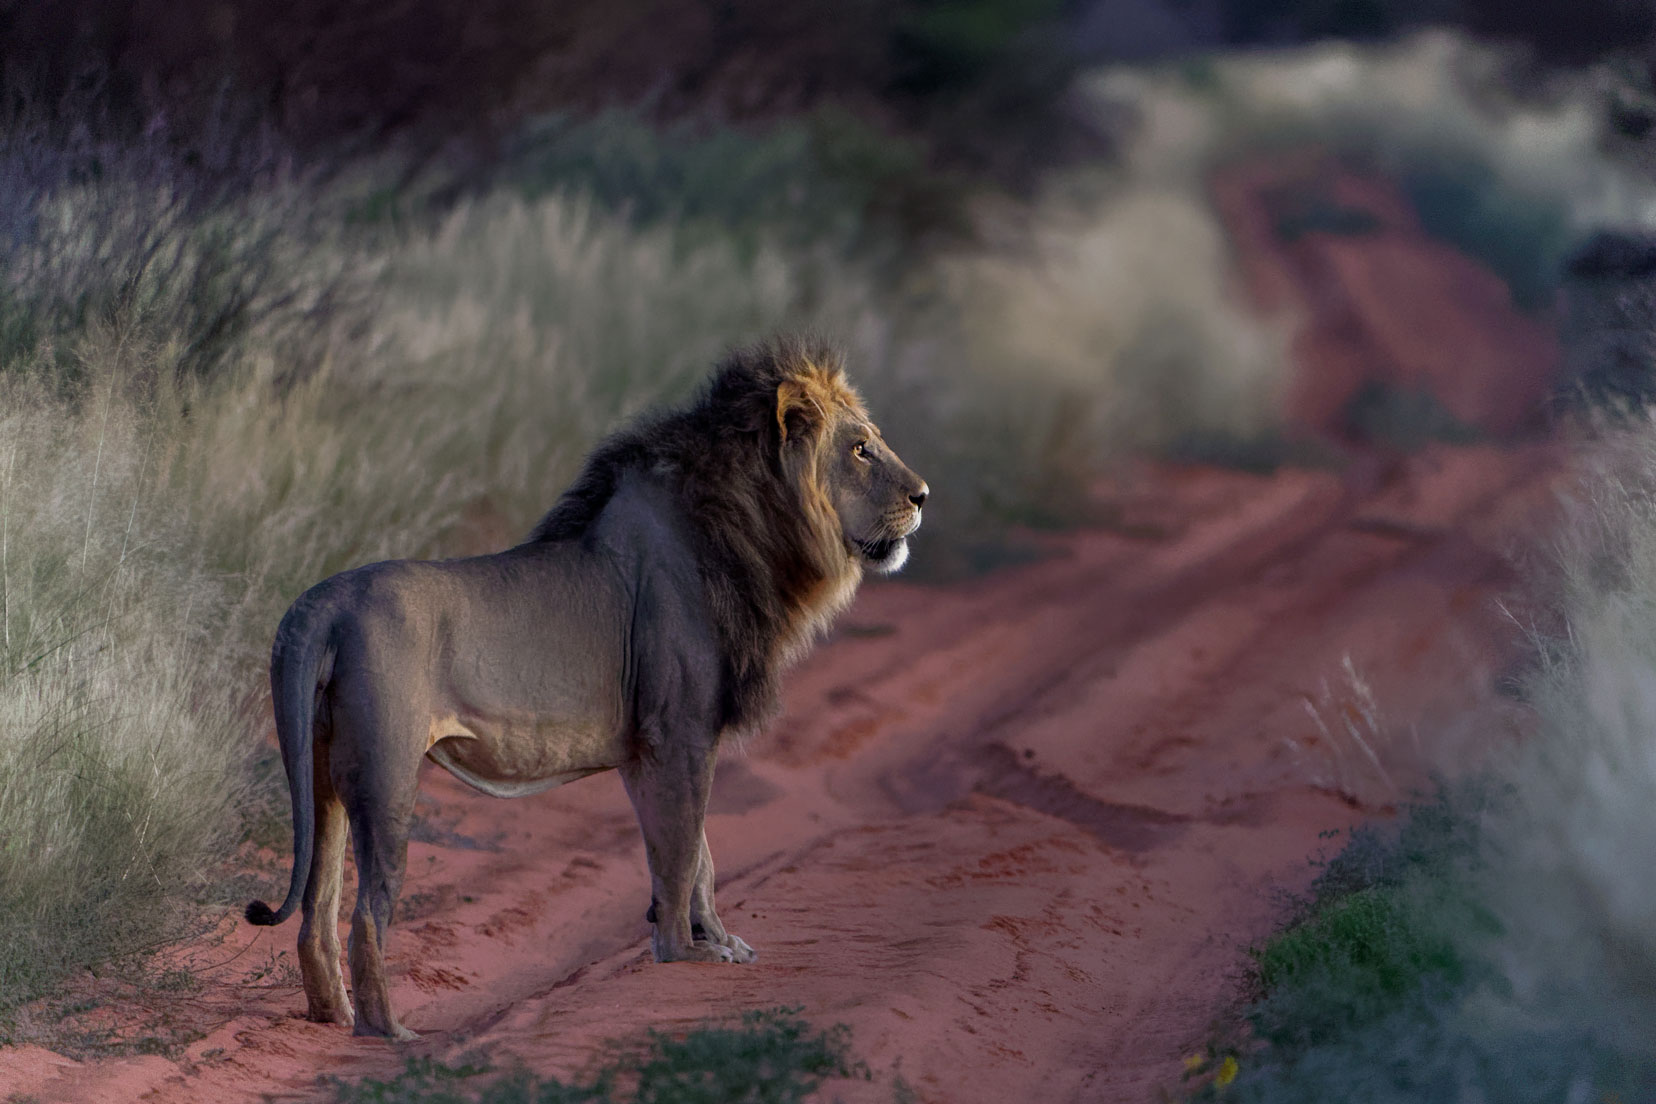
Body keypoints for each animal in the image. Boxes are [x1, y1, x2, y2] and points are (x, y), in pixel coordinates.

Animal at [243, 334, 927, 1039]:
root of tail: (320, 604)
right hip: (386, 780)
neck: (750, 532)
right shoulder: (679, 731)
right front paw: (683, 955)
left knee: (316, 912)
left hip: (319, 776)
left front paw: (715, 940)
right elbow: (682, 852)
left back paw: (333, 1014)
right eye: (860, 448)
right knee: (365, 916)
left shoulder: (647, 747)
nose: (924, 496)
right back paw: (387, 1032)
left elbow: (696, 854)